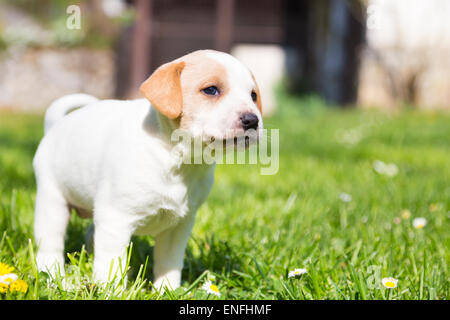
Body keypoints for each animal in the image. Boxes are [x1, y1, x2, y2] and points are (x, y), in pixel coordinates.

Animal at [32, 49, 264, 290]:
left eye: (253, 96)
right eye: (211, 90)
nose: (252, 120)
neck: (176, 159)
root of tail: (54, 127)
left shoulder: (178, 227)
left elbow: (169, 263)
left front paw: (167, 290)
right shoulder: (115, 219)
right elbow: (111, 262)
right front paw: (112, 290)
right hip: (53, 204)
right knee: (50, 244)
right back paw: (52, 273)